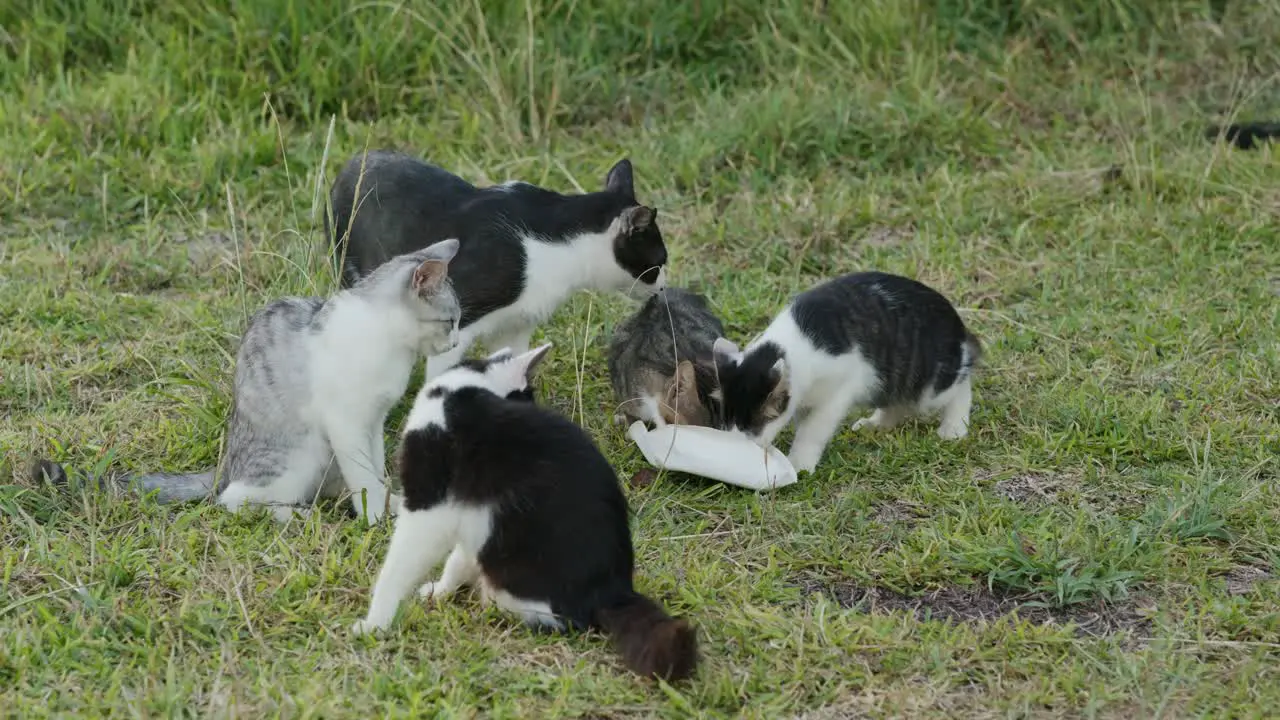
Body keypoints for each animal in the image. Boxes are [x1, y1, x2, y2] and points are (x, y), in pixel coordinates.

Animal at [32, 239, 465, 520]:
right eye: (451, 321)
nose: (457, 341)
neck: (392, 344)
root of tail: (224, 468)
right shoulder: (348, 422)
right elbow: (364, 477)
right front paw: (375, 516)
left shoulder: (373, 421)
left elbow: (374, 470)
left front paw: (390, 501)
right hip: (297, 457)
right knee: (233, 501)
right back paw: (296, 515)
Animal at [350, 345, 701, 681]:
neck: (461, 391)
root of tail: (615, 590)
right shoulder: (477, 517)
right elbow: (459, 558)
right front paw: (440, 590)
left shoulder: (429, 504)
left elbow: (398, 567)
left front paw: (375, 624)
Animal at [711, 269, 977, 471]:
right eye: (727, 421)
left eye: (751, 427)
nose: (736, 446)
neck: (791, 344)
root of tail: (956, 323)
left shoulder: (840, 388)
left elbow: (813, 429)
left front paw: (799, 462)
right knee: (897, 402)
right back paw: (876, 423)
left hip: (930, 384)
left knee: (960, 385)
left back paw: (954, 427)